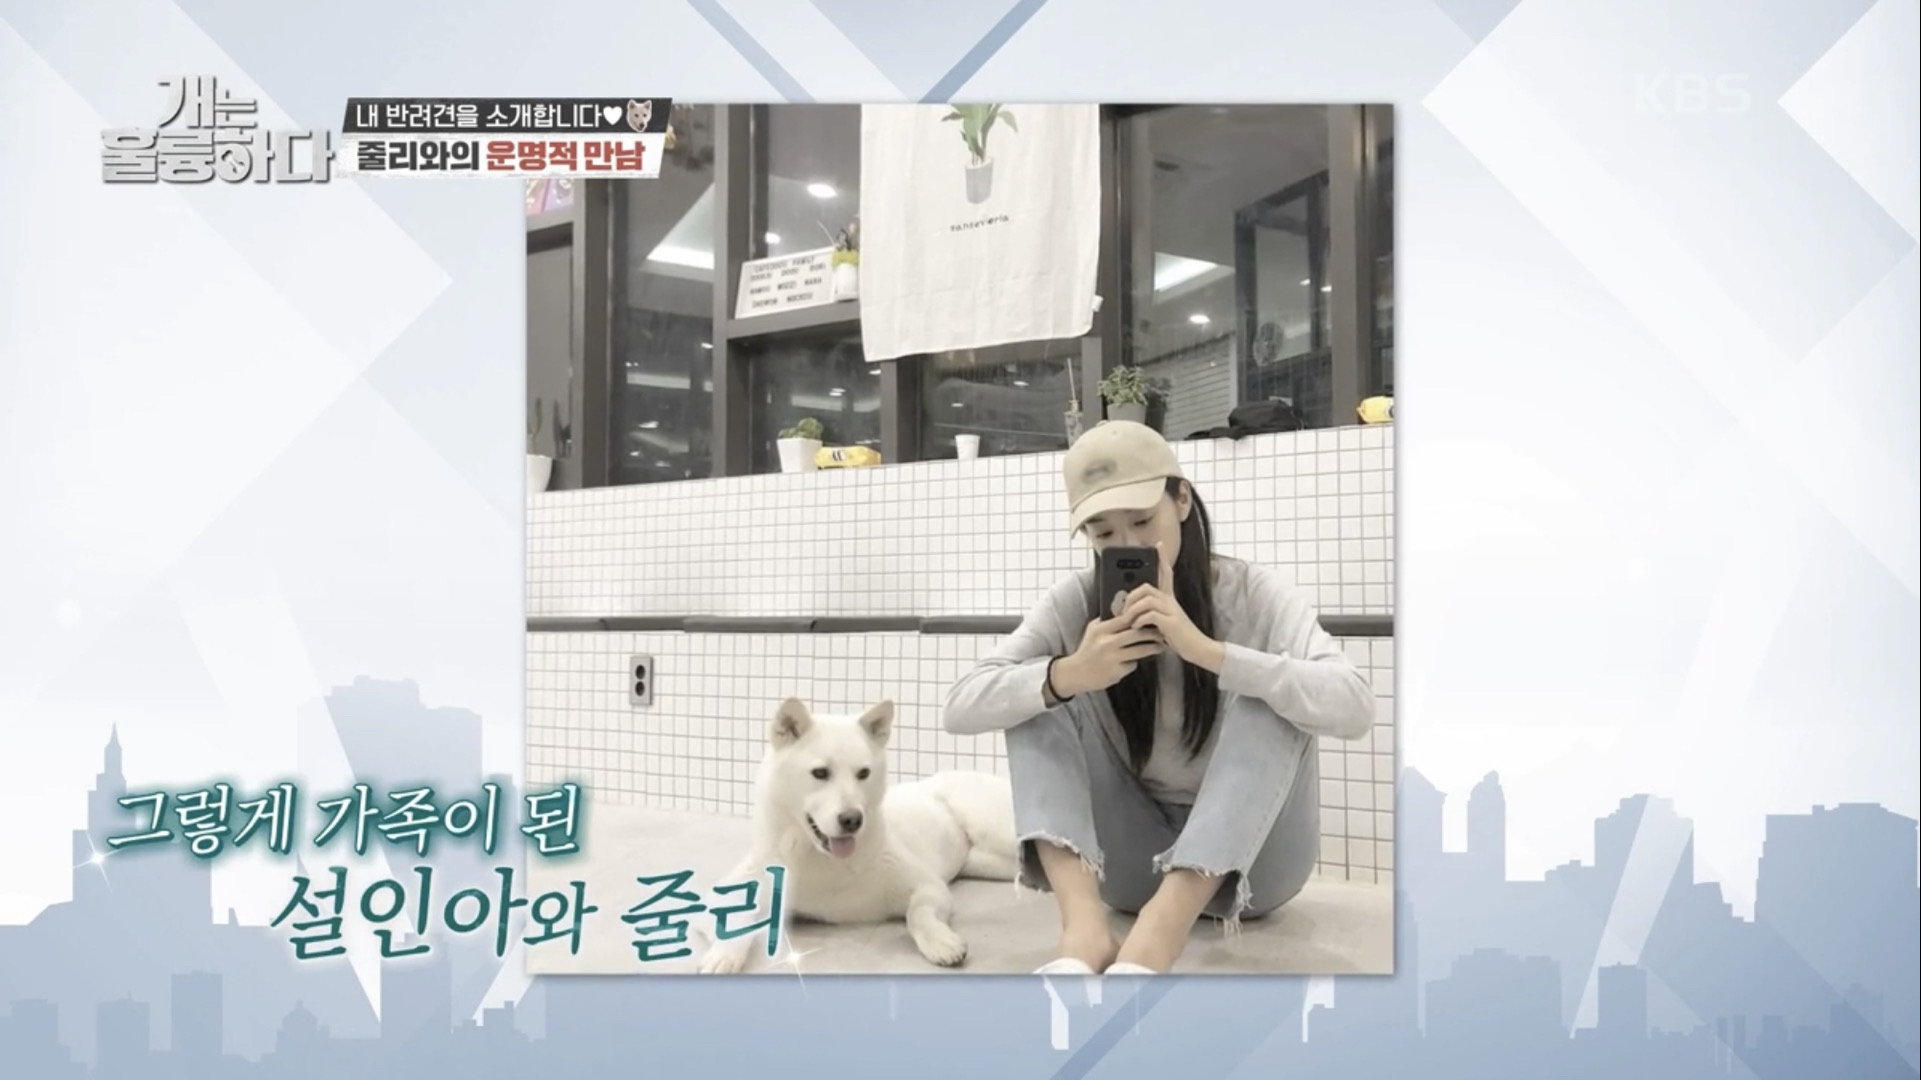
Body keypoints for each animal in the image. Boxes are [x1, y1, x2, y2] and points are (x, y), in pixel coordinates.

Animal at [697, 697, 1019, 973]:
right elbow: (735, 918)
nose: (852, 820)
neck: (821, 861)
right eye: (820, 773)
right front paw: (723, 955)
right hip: (981, 861)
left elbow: (918, 914)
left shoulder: (930, 886)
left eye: (863, 773)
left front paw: (940, 941)